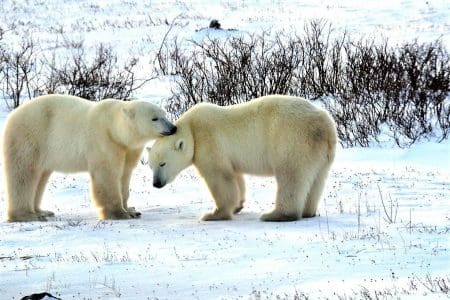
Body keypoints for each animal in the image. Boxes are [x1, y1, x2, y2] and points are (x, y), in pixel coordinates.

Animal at [2, 94, 177, 223]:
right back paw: (27, 215)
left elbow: (124, 175)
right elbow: (107, 176)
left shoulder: (127, 149)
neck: (114, 128)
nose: (173, 128)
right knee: (24, 174)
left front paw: (131, 210)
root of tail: (12, 115)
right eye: (154, 118)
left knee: (40, 177)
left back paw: (42, 211)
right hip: (30, 138)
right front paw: (119, 214)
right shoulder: (104, 141)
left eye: (164, 114)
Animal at [149, 95, 338, 221]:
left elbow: (219, 177)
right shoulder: (229, 156)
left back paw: (275, 214)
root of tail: (325, 125)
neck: (191, 129)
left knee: (291, 176)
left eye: (162, 163)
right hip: (321, 153)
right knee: (317, 179)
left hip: (292, 140)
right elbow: (235, 176)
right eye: (151, 166)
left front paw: (213, 214)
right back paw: (308, 212)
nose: (156, 184)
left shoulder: (209, 142)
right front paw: (238, 205)